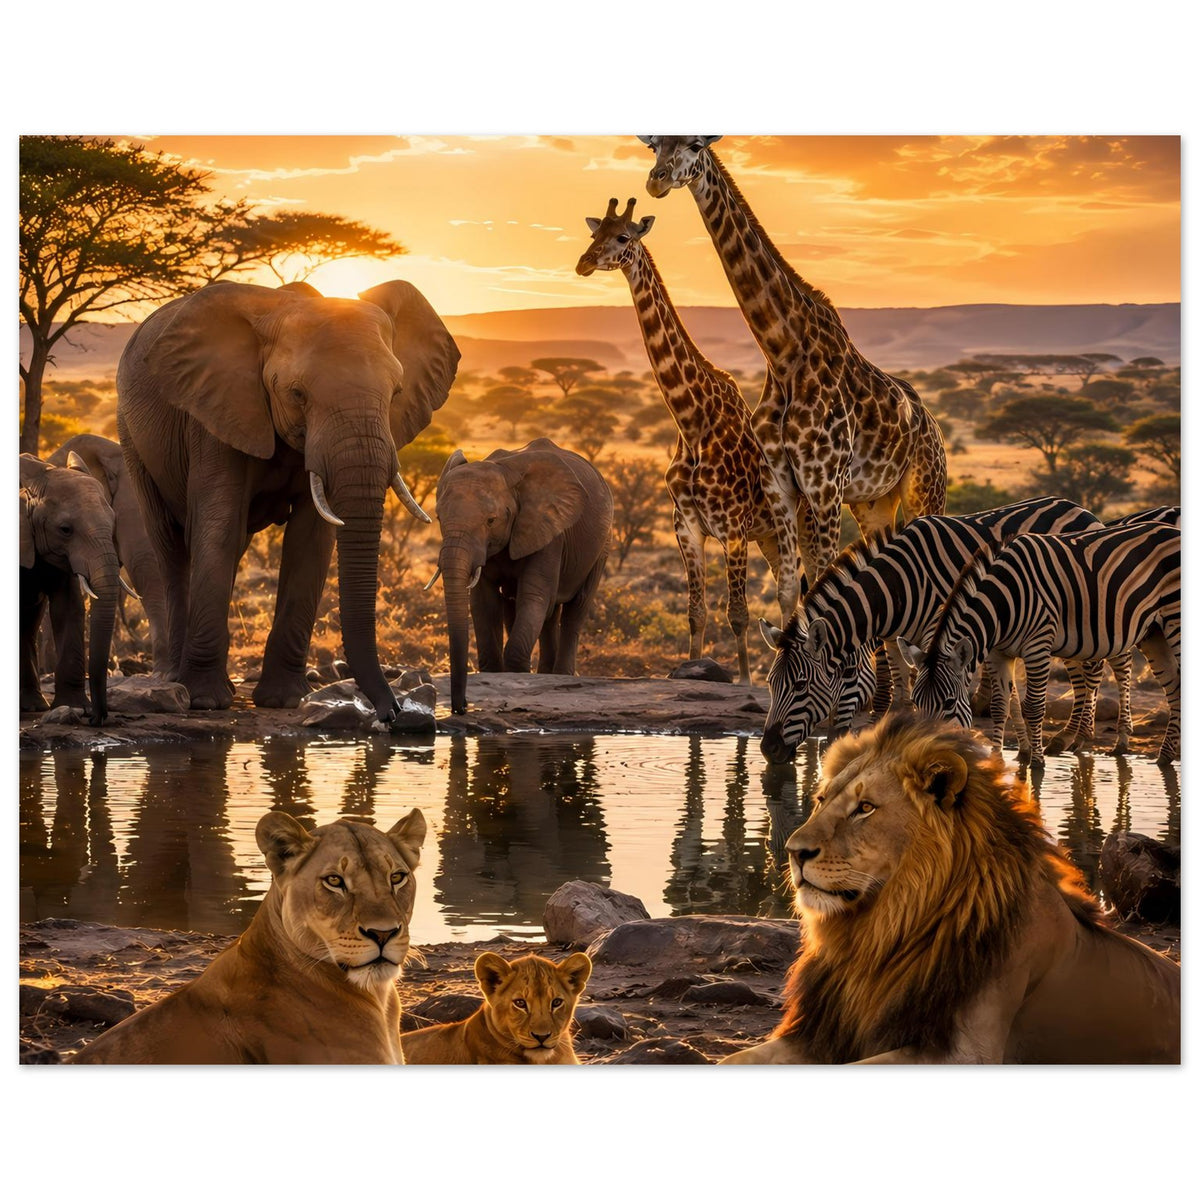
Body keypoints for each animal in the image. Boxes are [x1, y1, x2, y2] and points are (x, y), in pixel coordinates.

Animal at [724, 712, 1179, 1064]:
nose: (792, 851)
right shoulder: (822, 1034)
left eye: (865, 808)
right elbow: (734, 1060)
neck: (879, 935)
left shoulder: (964, 1051)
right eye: (821, 800)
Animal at [758, 496, 1102, 763]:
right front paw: (1025, 750)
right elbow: (900, 696)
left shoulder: (940, 633)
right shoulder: (898, 639)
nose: (768, 750)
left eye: (801, 685)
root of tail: (1080, 508)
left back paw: (1076, 738)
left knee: (1092, 671)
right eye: (771, 684)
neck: (898, 587)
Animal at [906, 522, 1181, 765]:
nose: (923, 755)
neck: (1002, 604)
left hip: (1173, 619)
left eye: (949, 703)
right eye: (915, 703)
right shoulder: (998, 653)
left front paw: (1036, 763)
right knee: (1174, 685)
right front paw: (997, 761)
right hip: (1153, 632)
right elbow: (999, 706)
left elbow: (1035, 707)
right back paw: (1165, 757)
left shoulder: (1037, 646)